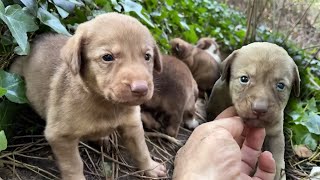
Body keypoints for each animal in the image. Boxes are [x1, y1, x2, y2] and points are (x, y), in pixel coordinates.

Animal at [9, 13, 166, 180]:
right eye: (107, 57)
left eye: (147, 56)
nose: (141, 89)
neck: (105, 103)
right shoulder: (60, 136)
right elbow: (73, 165)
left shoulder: (132, 125)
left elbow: (141, 149)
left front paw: (151, 167)